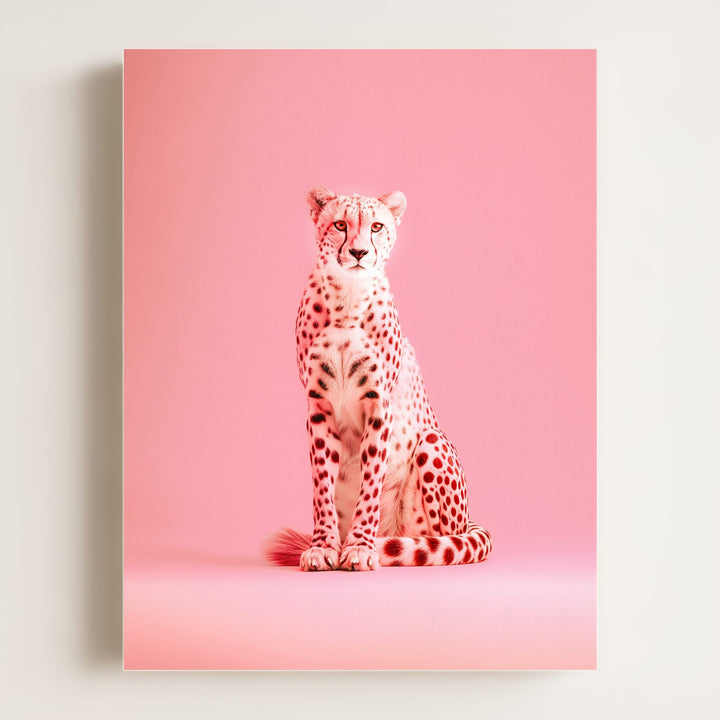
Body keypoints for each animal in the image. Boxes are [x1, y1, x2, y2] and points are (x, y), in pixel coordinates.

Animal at [265, 185, 492, 571]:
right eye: (340, 224)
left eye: (376, 226)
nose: (358, 252)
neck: (347, 298)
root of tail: (468, 520)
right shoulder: (318, 405)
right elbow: (322, 484)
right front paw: (324, 546)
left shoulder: (378, 405)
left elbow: (371, 482)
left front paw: (359, 546)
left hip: (432, 443)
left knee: (443, 540)